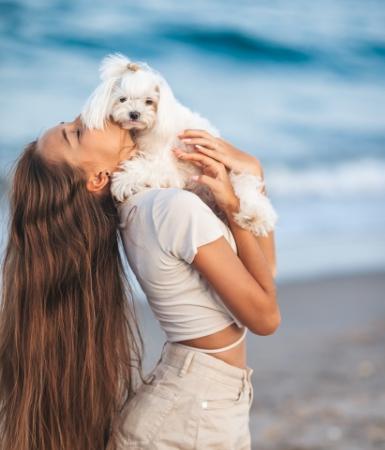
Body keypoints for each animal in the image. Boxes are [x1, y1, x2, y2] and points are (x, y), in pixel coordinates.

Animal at [81, 53, 276, 237]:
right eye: (122, 99)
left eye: (149, 101)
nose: (134, 114)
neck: (151, 127)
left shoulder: (167, 164)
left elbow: (143, 167)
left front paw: (122, 181)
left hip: (233, 177)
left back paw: (255, 217)